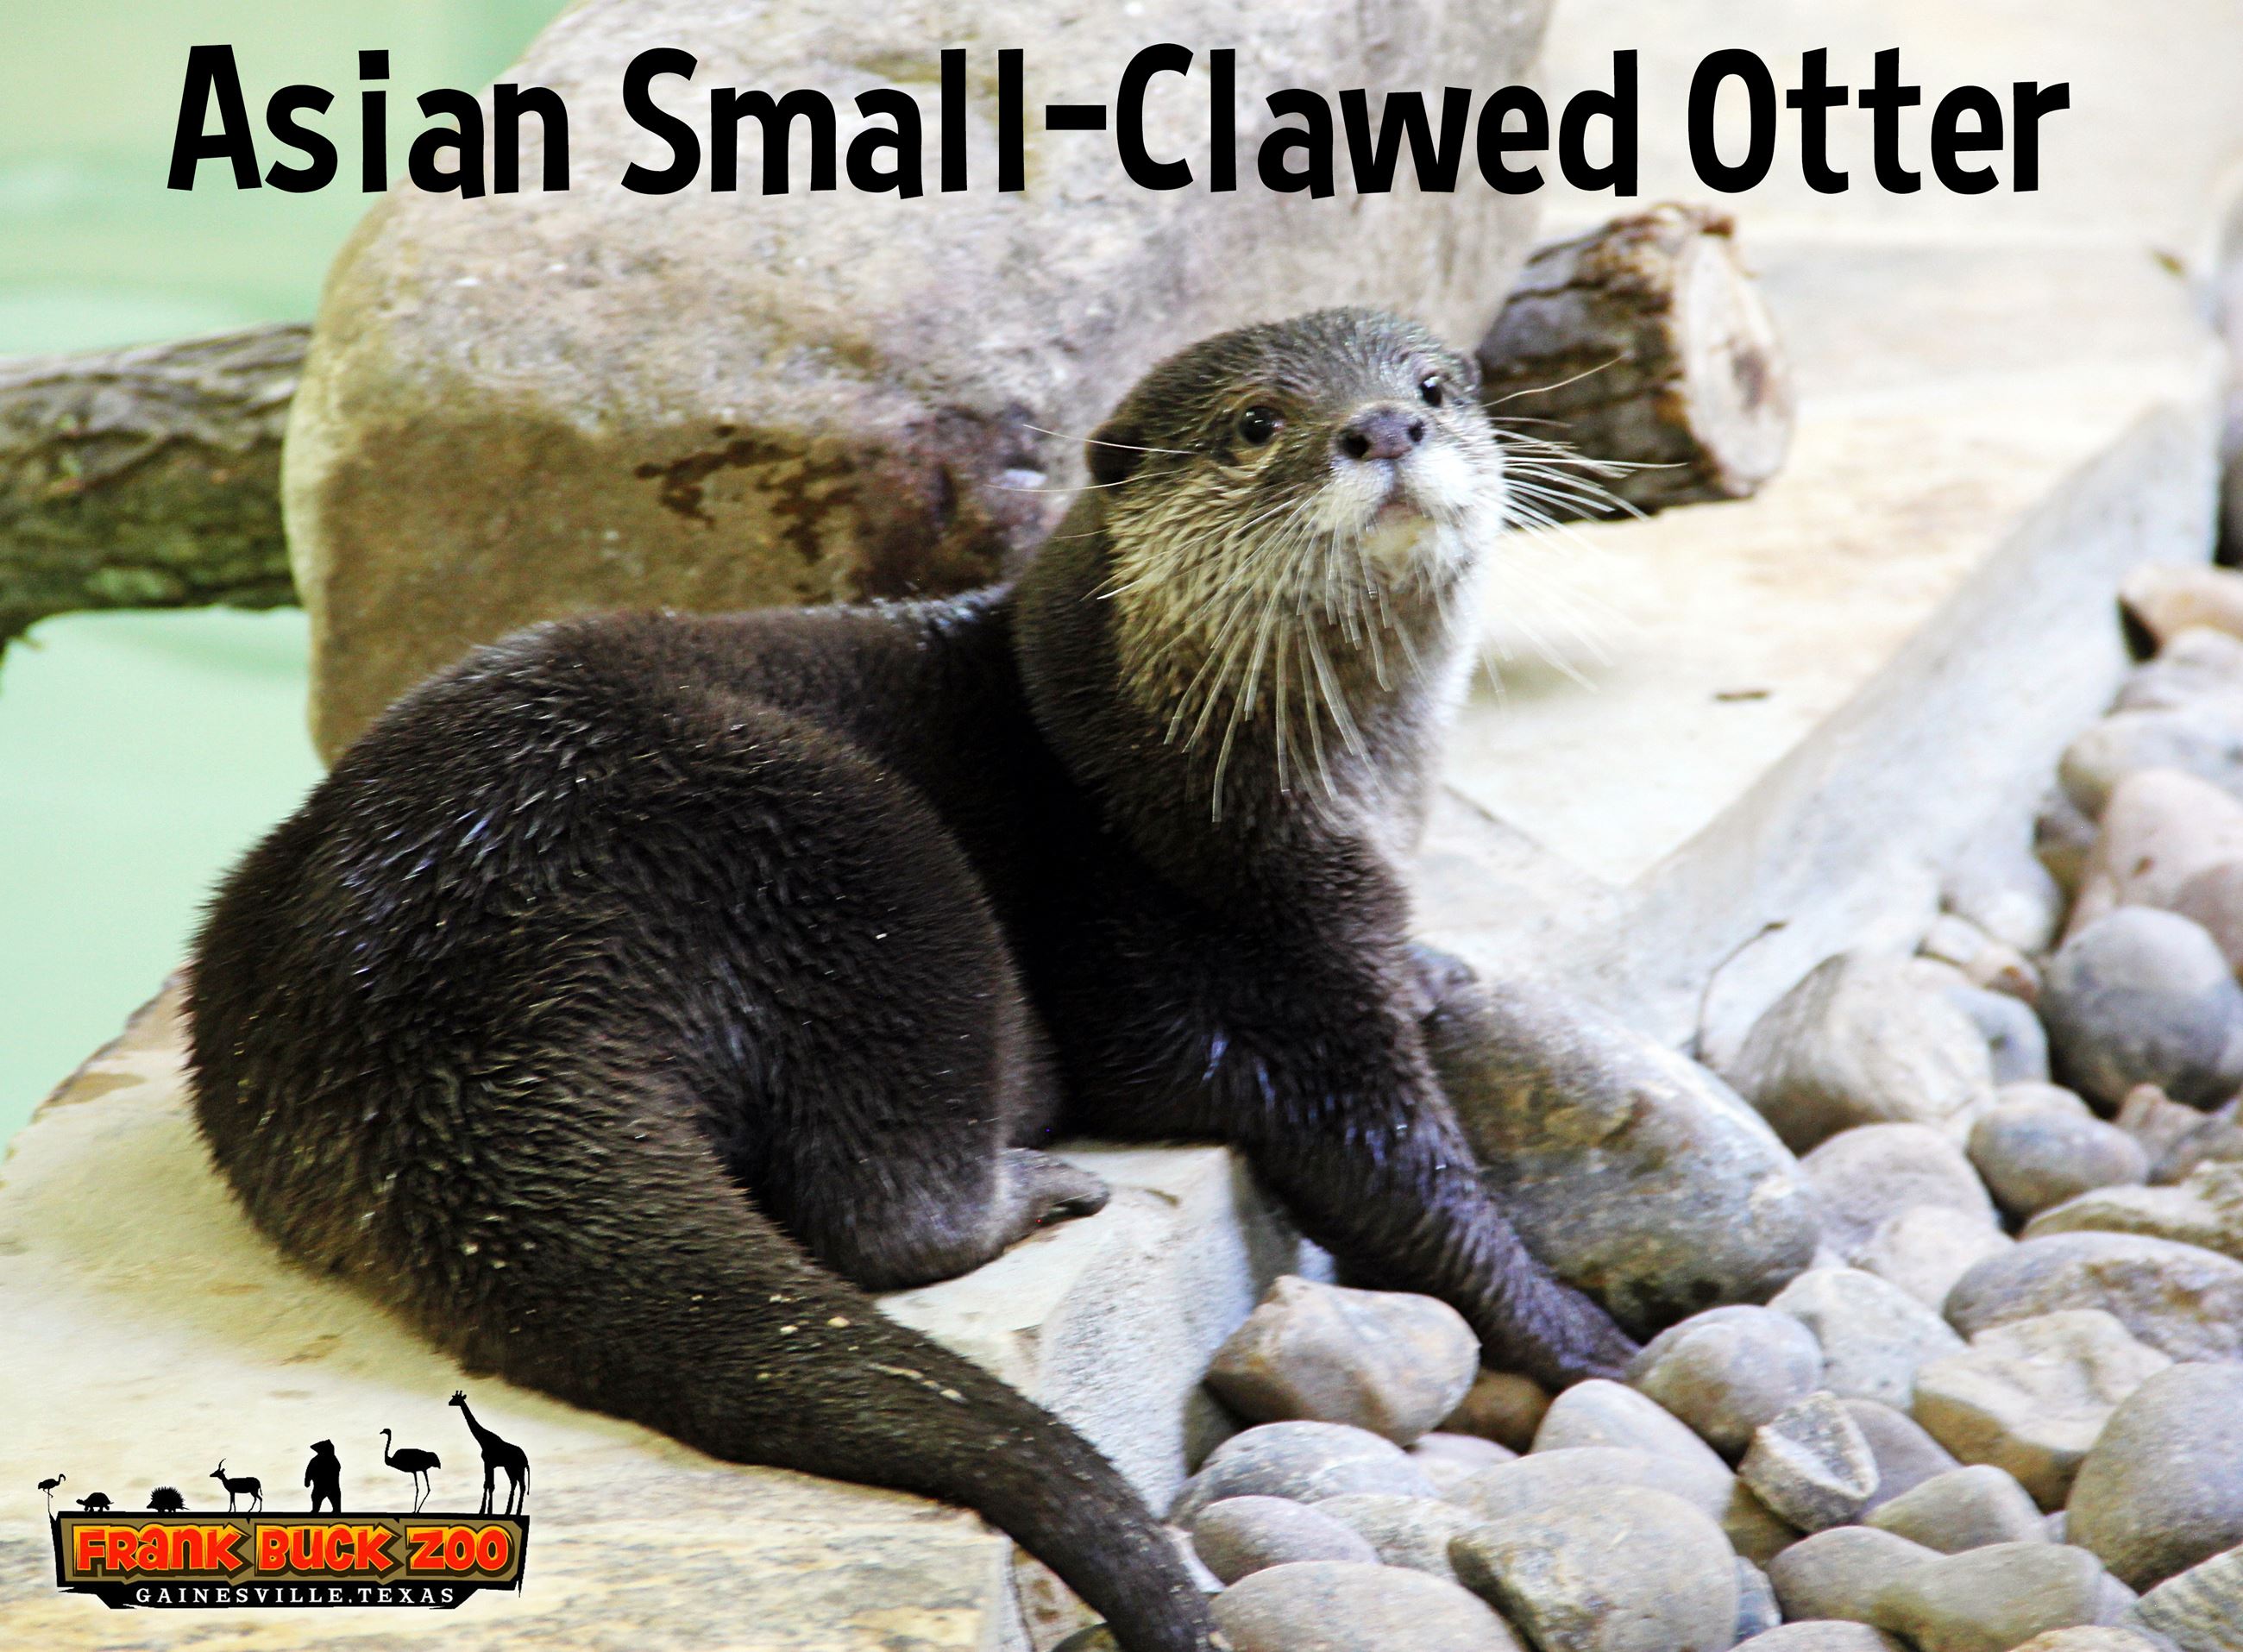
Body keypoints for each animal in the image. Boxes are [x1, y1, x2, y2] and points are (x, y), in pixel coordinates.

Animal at [185, 308, 1635, 1651]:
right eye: (1257, 423)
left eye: (1435, 383)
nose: (1383, 427)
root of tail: (433, 976)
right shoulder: (1256, 947)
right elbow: (1396, 1168)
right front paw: (1580, 1334)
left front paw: (1439, 964)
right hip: (846, 848)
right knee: (886, 1208)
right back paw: (1039, 1185)